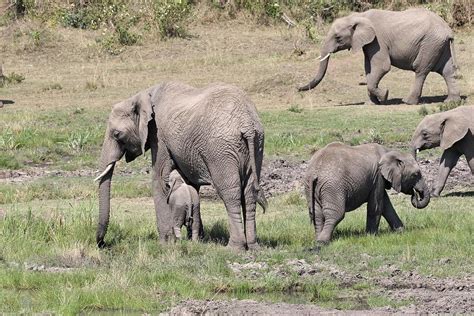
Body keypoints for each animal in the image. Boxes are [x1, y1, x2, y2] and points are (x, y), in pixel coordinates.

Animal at [94, 82, 268, 251]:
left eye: (117, 134)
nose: (102, 244)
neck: (141, 95)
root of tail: (247, 123)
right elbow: (190, 184)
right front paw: (197, 240)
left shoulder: (159, 136)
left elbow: (159, 179)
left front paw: (165, 244)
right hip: (257, 144)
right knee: (249, 192)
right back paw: (253, 247)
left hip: (221, 149)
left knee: (230, 191)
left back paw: (234, 248)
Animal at [300, 8, 460, 105]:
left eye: (338, 38)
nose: (298, 88)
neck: (359, 16)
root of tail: (448, 30)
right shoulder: (369, 43)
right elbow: (368, 69)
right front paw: (372, 103)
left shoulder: (378, 41)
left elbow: (382, 66)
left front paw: (385, 96)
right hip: (439, 44)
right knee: (447, 71)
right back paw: (451, 102)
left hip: (429, 44)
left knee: (420, 69)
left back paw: (407, 101)